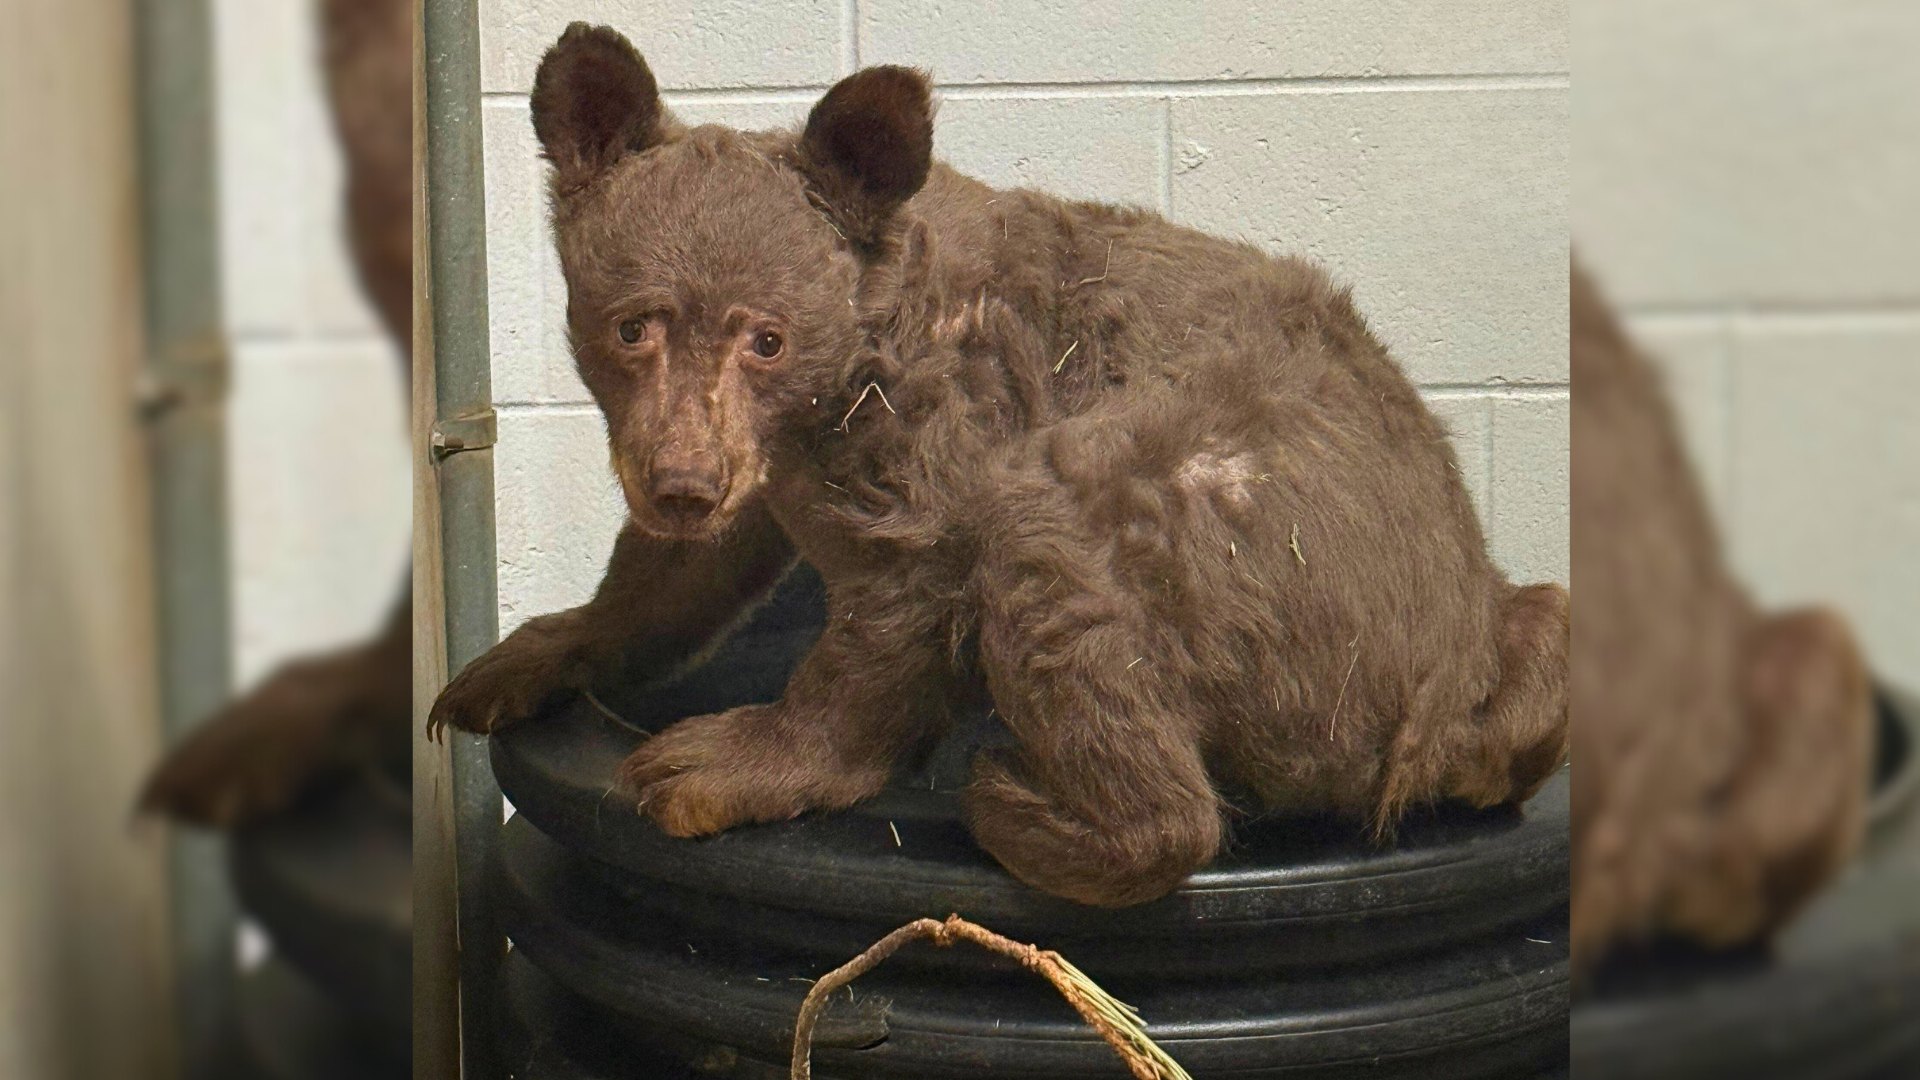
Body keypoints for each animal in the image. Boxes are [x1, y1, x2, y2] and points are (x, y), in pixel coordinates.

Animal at [428, 23, 1570, 908]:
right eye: (632, 326)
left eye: (767, 338)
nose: (681, 482)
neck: (834, 398)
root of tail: (1436, 702)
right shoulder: (755, 465)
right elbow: (675, 579)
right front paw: (511, 662)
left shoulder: (935, 443)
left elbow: (890, 621)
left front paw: (715, 759)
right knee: (1541, 633)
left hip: (1244, 541)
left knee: (1076, 584)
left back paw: (1014, 796)